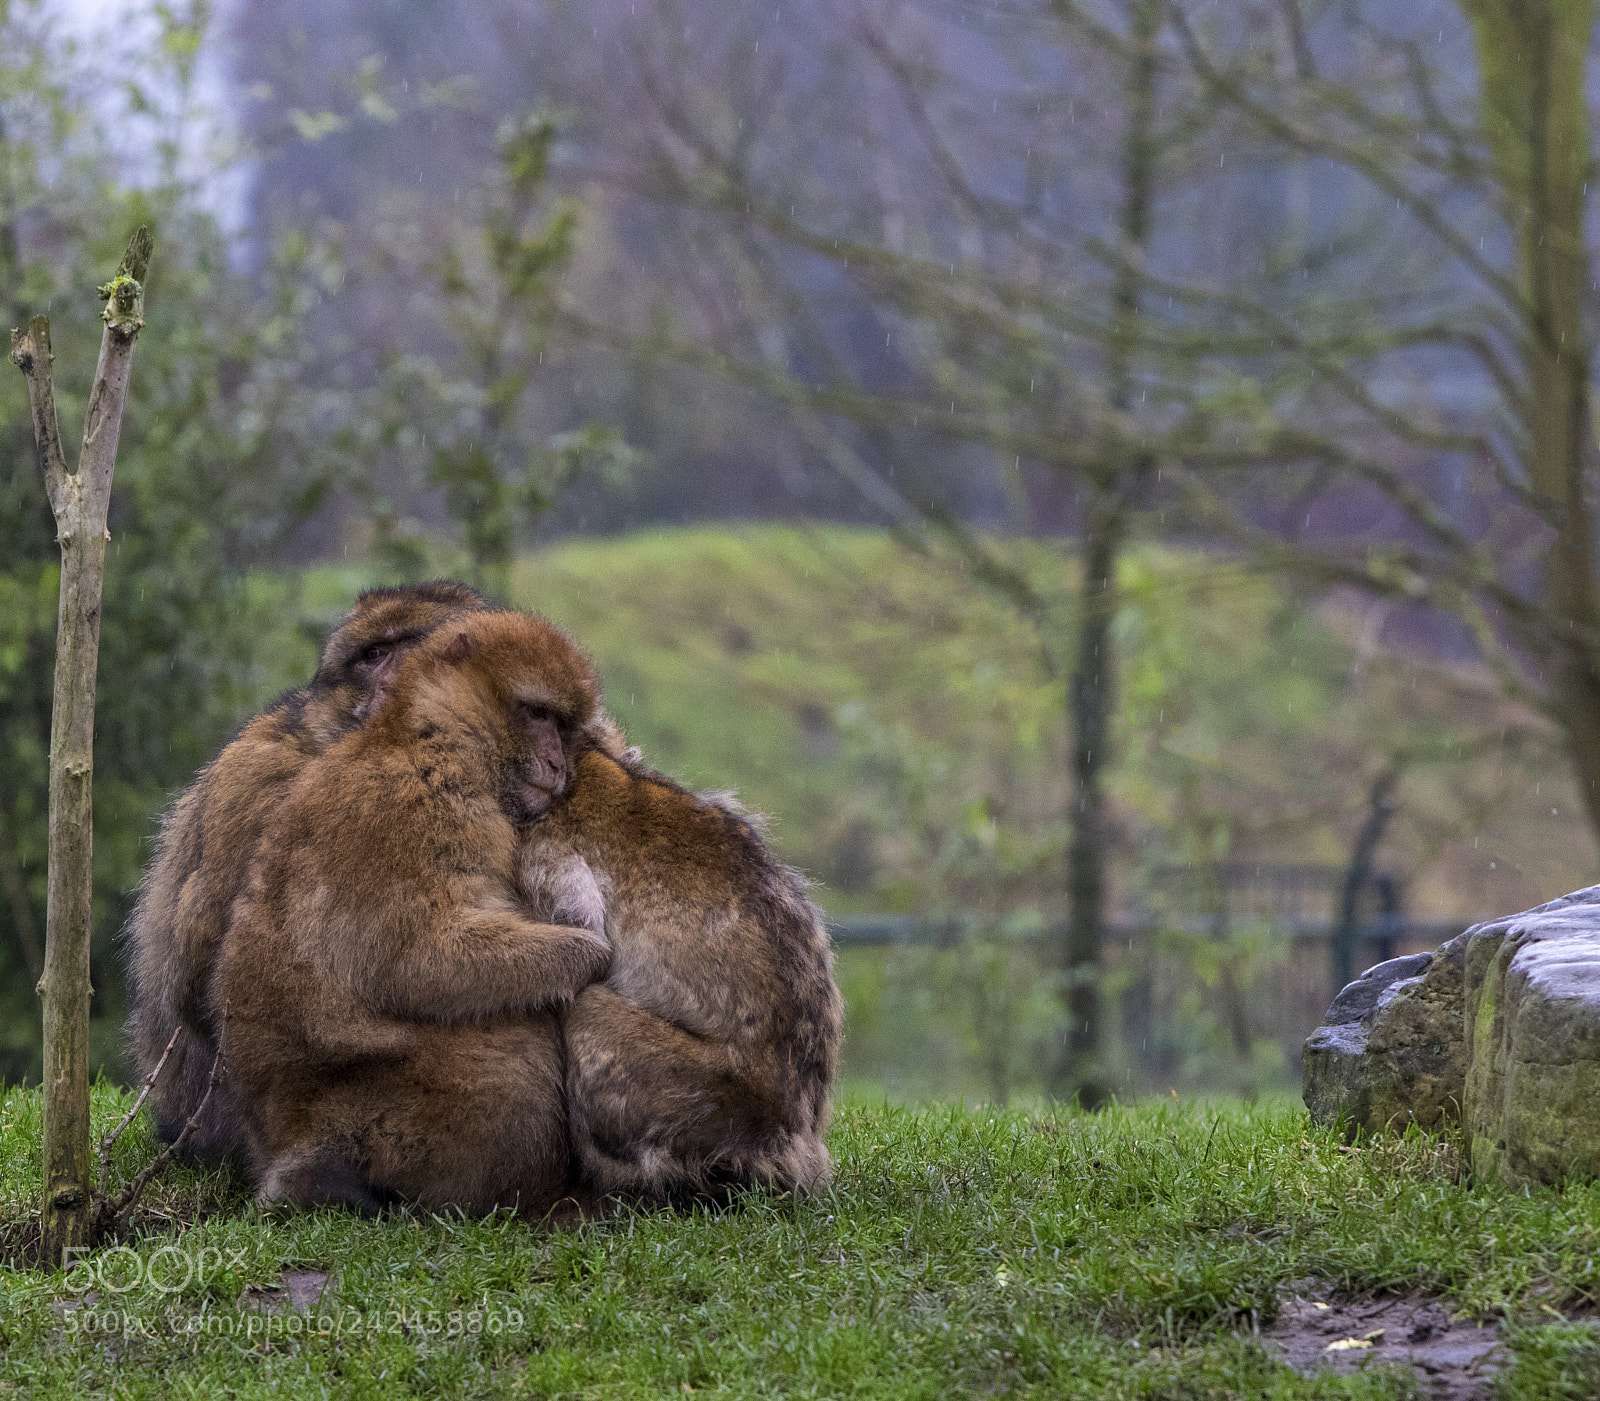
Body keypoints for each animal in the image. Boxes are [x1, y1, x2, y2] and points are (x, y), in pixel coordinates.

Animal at [214, 610, 616, 1217]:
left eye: (563, 726)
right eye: (539, 714)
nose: (556, 763)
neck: (427, 734)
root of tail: (295, 1144)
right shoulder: (428, 807)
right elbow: (420, 961)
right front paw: (588, 955)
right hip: (399, 1123)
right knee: (503, 1056)